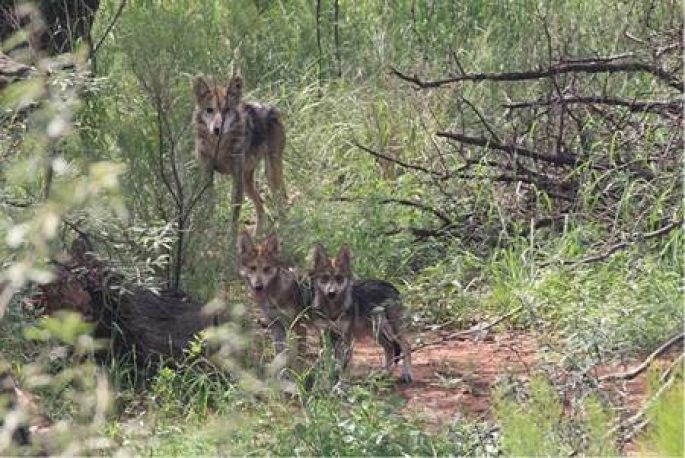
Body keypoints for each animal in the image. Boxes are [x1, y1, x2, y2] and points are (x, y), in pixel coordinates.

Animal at [192, 73, 287, 252]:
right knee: (261, 206)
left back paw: (286, 234)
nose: (217, 129)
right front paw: (208, 240)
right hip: (248, 181)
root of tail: (270, 107)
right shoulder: (207, 175)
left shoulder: (236, 178)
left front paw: (230, 245)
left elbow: (234, 215)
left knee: (282, 203)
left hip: (270, 175)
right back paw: (257, 237)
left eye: (227, 110)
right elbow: (209, 208)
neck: (219, 148)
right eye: (209, 110)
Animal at [237, 231, 311, 374]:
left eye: (266, 269)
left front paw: (301, 376)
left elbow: (299, 358)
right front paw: (280, 375)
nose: (258, 287)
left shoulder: (299, 325)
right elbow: (280, 355)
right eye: (252, 268)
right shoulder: (276, 326)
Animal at [310, 244, 413, 383]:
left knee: (406, 346)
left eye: (339, 278)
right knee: (389, 347)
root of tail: (391, 285)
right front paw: (327, 380)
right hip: (376, 332)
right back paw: (384, 374)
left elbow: (343, 364)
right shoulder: (325, 334)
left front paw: (340, 383)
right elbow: (328, 361)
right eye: (325, 278)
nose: (331, 293)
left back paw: (406, 374)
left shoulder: (346, 337)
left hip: (392, 330)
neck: (332, 309)